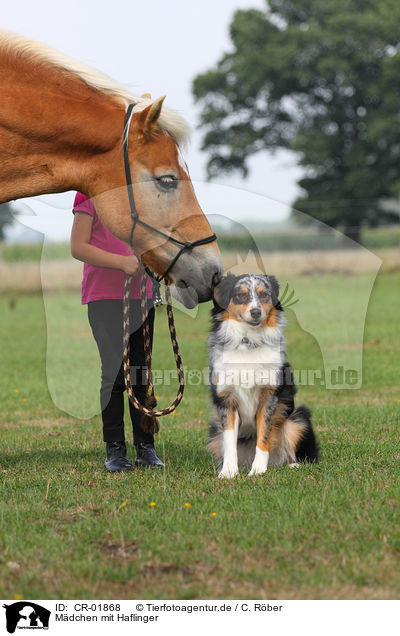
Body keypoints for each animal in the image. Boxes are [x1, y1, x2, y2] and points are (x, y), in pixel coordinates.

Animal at [208, 274, 320, 476]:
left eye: (264, 295)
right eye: (241, 295)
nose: (256, 312)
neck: (247, 341)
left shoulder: (268, 398)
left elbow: (264, 435)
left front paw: (258, 470)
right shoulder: (226, 399)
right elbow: (229, 441)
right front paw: (228, 472)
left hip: (298, 419)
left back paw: (292, 465)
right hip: (214, 431)